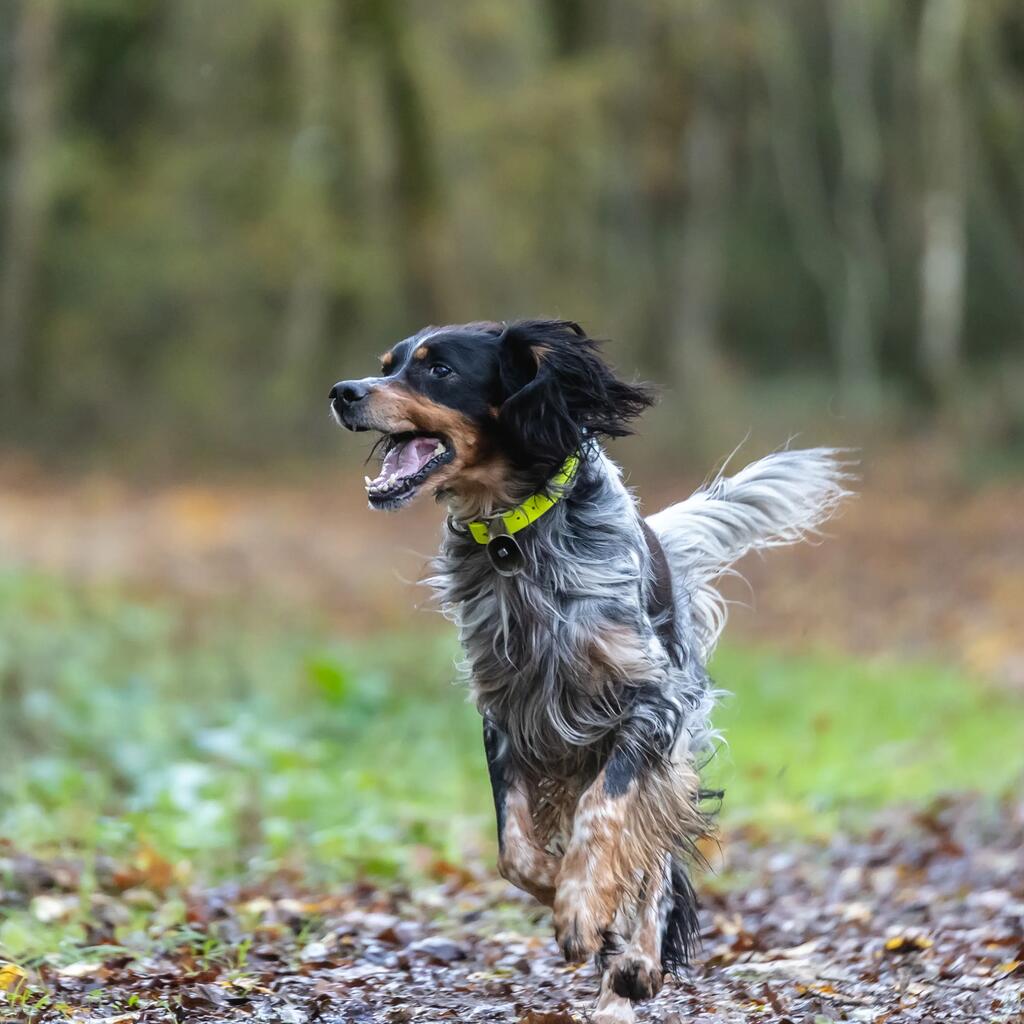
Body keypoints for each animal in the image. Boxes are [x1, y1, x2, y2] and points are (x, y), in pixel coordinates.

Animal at [329, 317, 847, 1015]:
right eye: (388, 365)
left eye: (439, 370)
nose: (344, 391)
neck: (515, 540)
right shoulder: (506, 714)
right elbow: (515, 851)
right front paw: (565, 892)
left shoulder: (651, 706)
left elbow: (608, 816)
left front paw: (581, 910)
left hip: (668, 749)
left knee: (654, 860)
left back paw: (634, 968)